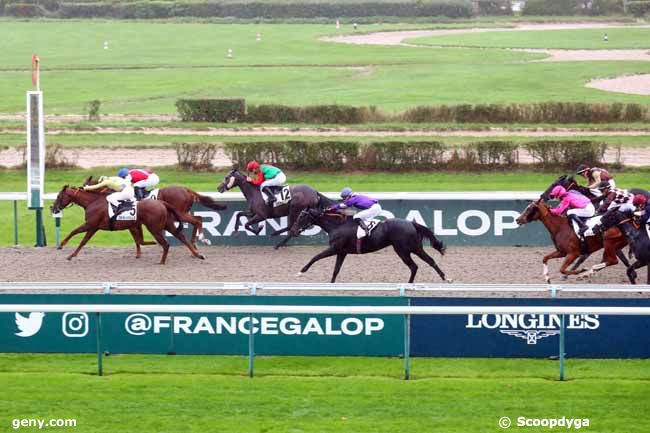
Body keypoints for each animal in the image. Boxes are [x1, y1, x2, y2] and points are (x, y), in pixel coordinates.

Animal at [51, 184, 204, 262]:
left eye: (59, 196)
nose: (53, 208)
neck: (93, 202)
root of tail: (162, 202)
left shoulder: (91, 225)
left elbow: (78, 236)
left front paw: (64, 248)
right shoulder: (130, 225)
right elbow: (139, 240)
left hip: (155, 227)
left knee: (169, 242)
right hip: (168, 224)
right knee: (182, 237)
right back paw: (198, 254)